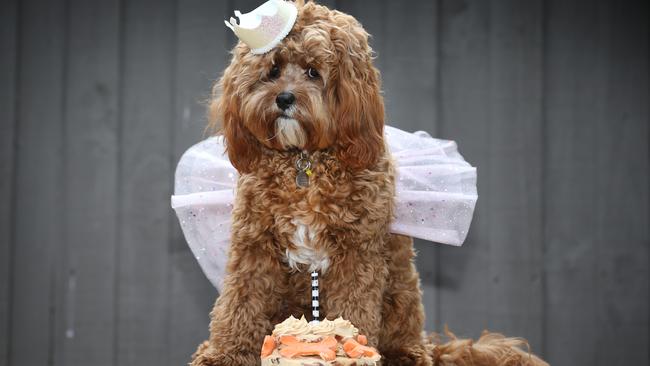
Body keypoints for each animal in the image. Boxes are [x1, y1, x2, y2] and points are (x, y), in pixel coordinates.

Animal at [190, 0, 544, 366]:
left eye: (313, 71)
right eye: (272, 70)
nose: (284, 98)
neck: (304, 162)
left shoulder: (356, 252)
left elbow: (353, 309)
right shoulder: (254, 245)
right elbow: (239, 303)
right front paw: (222, 354)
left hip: (402, 293)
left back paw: (406, 355)